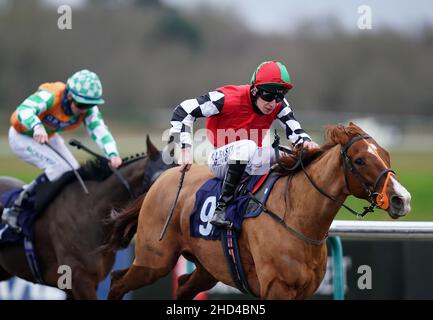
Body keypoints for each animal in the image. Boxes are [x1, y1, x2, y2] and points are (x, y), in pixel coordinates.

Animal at [106, 123, 410, 300]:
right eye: (359, 160)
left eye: (385, 154)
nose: (402, 199)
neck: (296, 218)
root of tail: (162, 180)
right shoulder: (277, 288)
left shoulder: (304, 292)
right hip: (154, 260)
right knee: (118, 282)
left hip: (207, 267)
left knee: (181, 287)